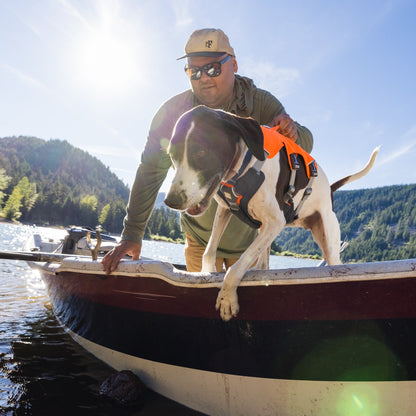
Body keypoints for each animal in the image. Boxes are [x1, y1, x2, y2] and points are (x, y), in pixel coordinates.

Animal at [164, 105, 378, 320]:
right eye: (171, 155)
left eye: (201, 151)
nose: (170, 201)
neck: (245, 165)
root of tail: (330, 190)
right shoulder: (225, 209)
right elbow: (209, 252)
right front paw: (205, 274)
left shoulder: (275, 222)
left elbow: (236, 266)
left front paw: (227, 298)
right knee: (263, 265)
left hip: (328, 241)